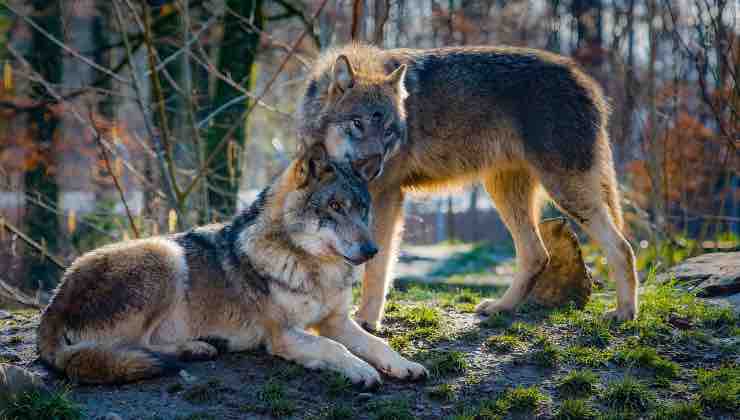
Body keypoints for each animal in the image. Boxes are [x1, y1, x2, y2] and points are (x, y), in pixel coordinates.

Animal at [36, 144, 428, 388]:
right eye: (334, 206)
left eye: (362, 208)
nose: (372, 250)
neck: (313, 268)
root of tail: (52, 305)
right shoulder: (283, 335)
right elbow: (335, 349)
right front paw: (361, 371)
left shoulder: (335, 321)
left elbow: (377, 344)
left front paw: (404, 365)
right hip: (165, 254)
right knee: (132, 347)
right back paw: (196, 348)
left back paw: (201, 346)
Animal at [298, 43, 640, 332]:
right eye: (357, 123)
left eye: (389, 132)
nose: (372, 169)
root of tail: (587, 80)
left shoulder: (386, 197)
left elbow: (376, 267)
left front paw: (367, 321)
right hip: (505, 192)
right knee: (537, 254)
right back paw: (501, 307)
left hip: (565, 192)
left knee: (622, 247)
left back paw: (624, 313)